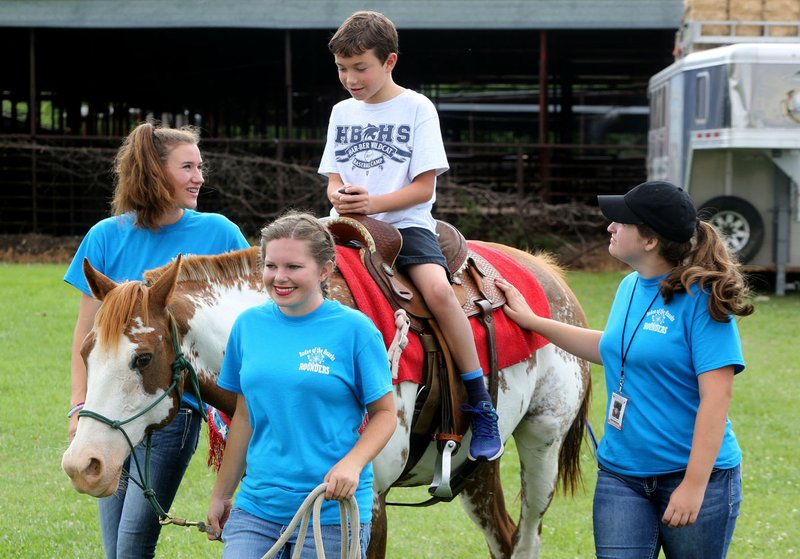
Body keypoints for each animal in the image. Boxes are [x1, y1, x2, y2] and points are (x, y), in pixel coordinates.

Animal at [62, 242, 592, 559]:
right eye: (87, 352)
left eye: (143, 357)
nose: (82, 465)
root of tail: (550, 276)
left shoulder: (367, 503)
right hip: (477, 467)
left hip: (542, 445)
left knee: (526, 536)